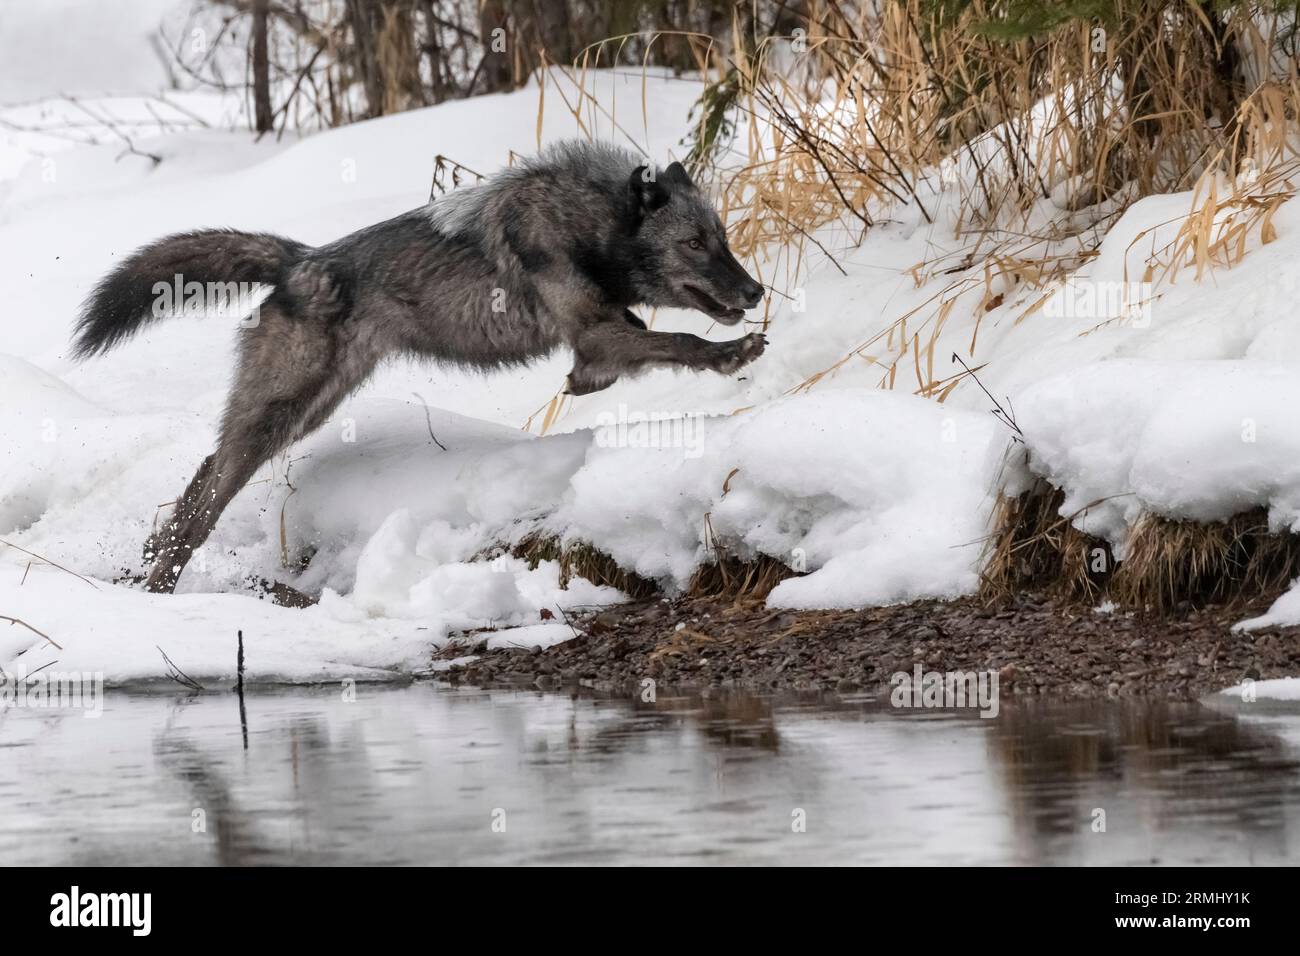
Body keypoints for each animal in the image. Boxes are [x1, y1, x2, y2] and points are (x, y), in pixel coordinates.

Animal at [73, 140, 767, 594]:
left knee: (203, 473)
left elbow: (636, 345)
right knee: (208, 496)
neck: (587, 225)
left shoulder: (605, 332)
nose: (756, 291)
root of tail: (299, 260)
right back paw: (157, 583)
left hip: (305, 410)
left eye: (723, 238)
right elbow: (679, 340)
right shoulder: (596, 333)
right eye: (694, 244)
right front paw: (732, 354)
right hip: (283, 413)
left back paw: (151, 560)